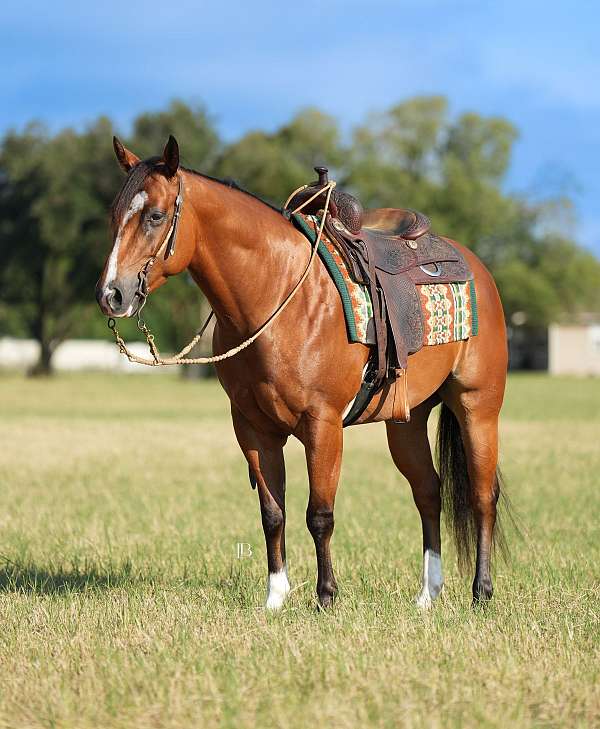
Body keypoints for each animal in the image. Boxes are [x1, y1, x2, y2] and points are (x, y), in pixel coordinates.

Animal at [96, 135, 508, 610]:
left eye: (156, 216)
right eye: (114, 215)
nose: (111, 294)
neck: (278, 293)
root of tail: (474, 264)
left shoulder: (322, 424)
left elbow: (320, 514)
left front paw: (326, 596)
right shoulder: (252, 428)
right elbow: (273, 513)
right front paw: (275, 597)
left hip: (477, 407)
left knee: (481, 496)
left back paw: (481, 592)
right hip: (406, 420)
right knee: (428, 491)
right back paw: (427, 595)